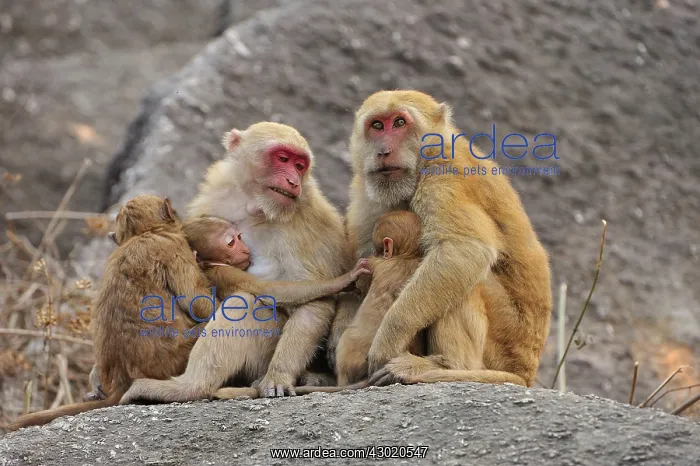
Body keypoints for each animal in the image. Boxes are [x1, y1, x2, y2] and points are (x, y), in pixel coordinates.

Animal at [118, 121, 355, 404]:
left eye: (300, 165)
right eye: (283, 158)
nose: (293, 181)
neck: (257, 208)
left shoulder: (307, 224)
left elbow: (313, 301)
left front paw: (279, 375)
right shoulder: (218, 198)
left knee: (246, 302)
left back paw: (190, 388)